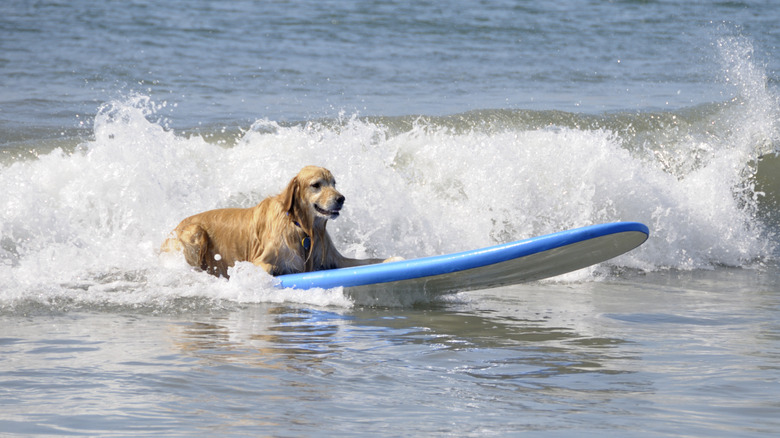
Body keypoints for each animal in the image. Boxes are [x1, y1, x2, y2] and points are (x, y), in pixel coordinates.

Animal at [161, 164, 400, 278]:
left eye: (334, 183)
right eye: (316, 185)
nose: (341, 199)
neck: (303, 229)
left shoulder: (336, 260)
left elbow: (370, 261)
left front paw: (394, 258)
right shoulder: (260, 261)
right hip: (194, 232)